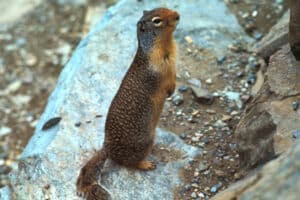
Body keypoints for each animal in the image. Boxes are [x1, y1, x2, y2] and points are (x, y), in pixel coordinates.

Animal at [77, 7, 180, 199]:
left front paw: (173, 92)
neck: (165, 45)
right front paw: (170, 93)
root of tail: (107, 148)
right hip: (144, 142)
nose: (178, 15)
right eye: (156, 20)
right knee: (129, 163)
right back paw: (146, 164)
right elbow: (166, 84)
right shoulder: (160, 73)